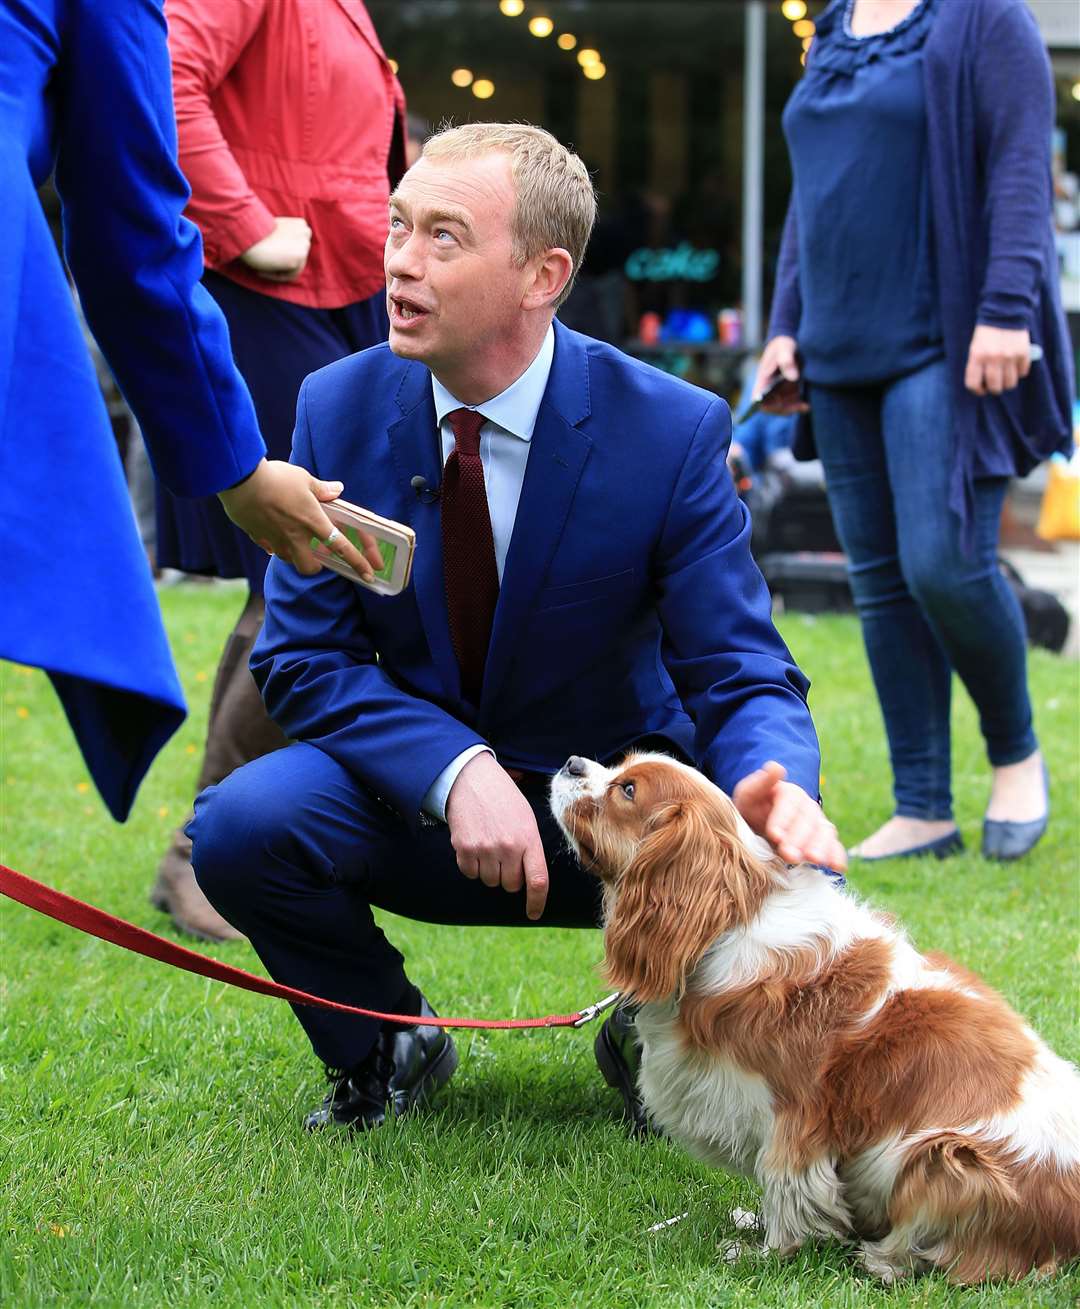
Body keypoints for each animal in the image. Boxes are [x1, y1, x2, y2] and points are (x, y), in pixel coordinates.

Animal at [552, 753, 1073, 1282]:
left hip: (946, 1157)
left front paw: (767, 1252)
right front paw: (757, 1227)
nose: (572, 763)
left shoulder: (795, 1116)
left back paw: (881, 1259)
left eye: (628, 790)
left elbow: (787, 1187)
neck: (729, 921)